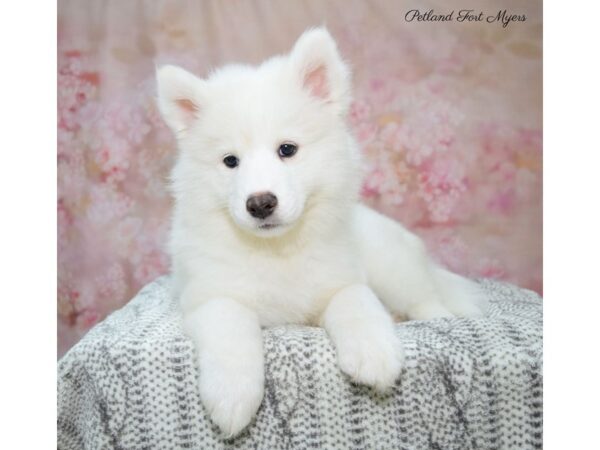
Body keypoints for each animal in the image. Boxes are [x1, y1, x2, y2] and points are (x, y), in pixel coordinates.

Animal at [157, 28, 486, 436]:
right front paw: (232, 396)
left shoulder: (342, 279)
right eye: (230, 161)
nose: (260, 203)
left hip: (393, 267)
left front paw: (374, 353)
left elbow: (357, 304)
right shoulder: (209, 296)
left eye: (287, 149)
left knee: (427, 298)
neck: (277, 249)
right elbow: (231, 330)